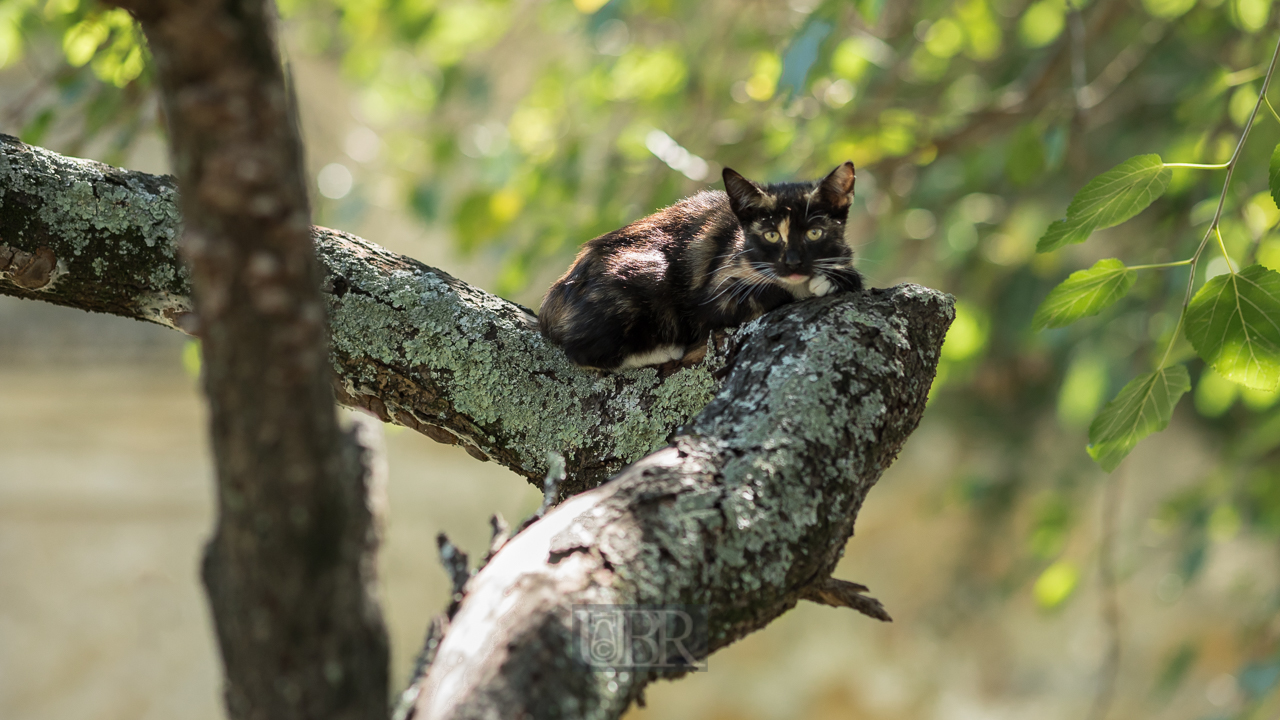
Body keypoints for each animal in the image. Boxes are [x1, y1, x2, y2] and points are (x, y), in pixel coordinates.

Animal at [535, 158, 865, 366]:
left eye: (814, 233)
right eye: (771, 235)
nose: (793, 263)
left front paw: (832, 279)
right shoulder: (710, 298)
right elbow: (764, 294)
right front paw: (799, 288)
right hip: (646, 269)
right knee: (581, 352)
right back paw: (663, 350)